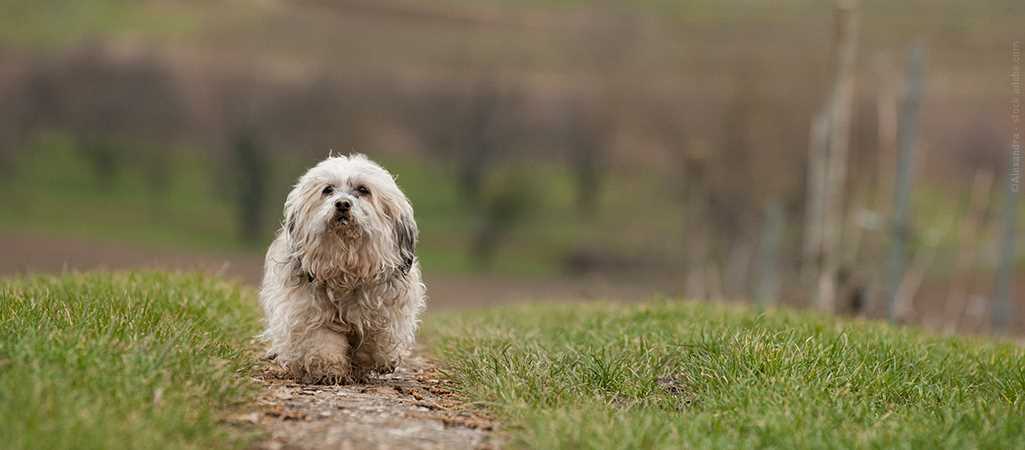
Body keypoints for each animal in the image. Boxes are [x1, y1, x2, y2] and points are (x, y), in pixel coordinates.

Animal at [264, 154, 428, 383]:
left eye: (363, 190)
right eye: (328, 190)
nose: (342, 203)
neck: (346, 265)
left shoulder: (383, 312)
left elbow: (373, 342)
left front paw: (367, 364)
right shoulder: (309, 312)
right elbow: (322, 341)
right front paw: (329, 370)